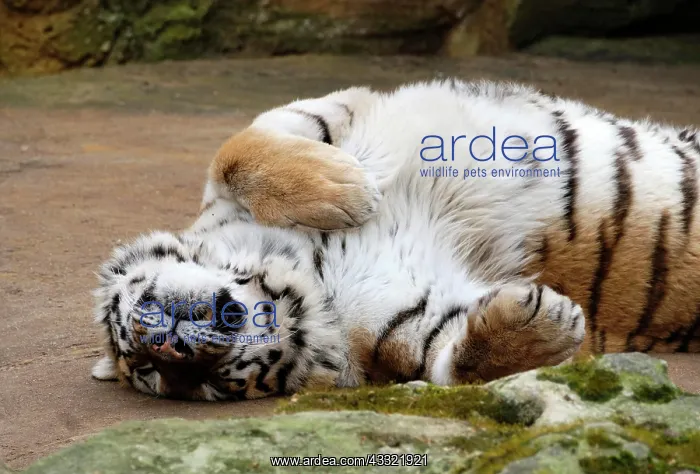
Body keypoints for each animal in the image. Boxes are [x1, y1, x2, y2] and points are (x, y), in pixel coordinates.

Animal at [91, 79, 700, 401]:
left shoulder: (319, 112)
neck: (308, 268)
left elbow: (237, 149)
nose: (169, 350)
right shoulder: (401, 320)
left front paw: (347, 190)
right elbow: (449, 358)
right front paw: (544, 327)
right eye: (168, 380)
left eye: (143, 356)